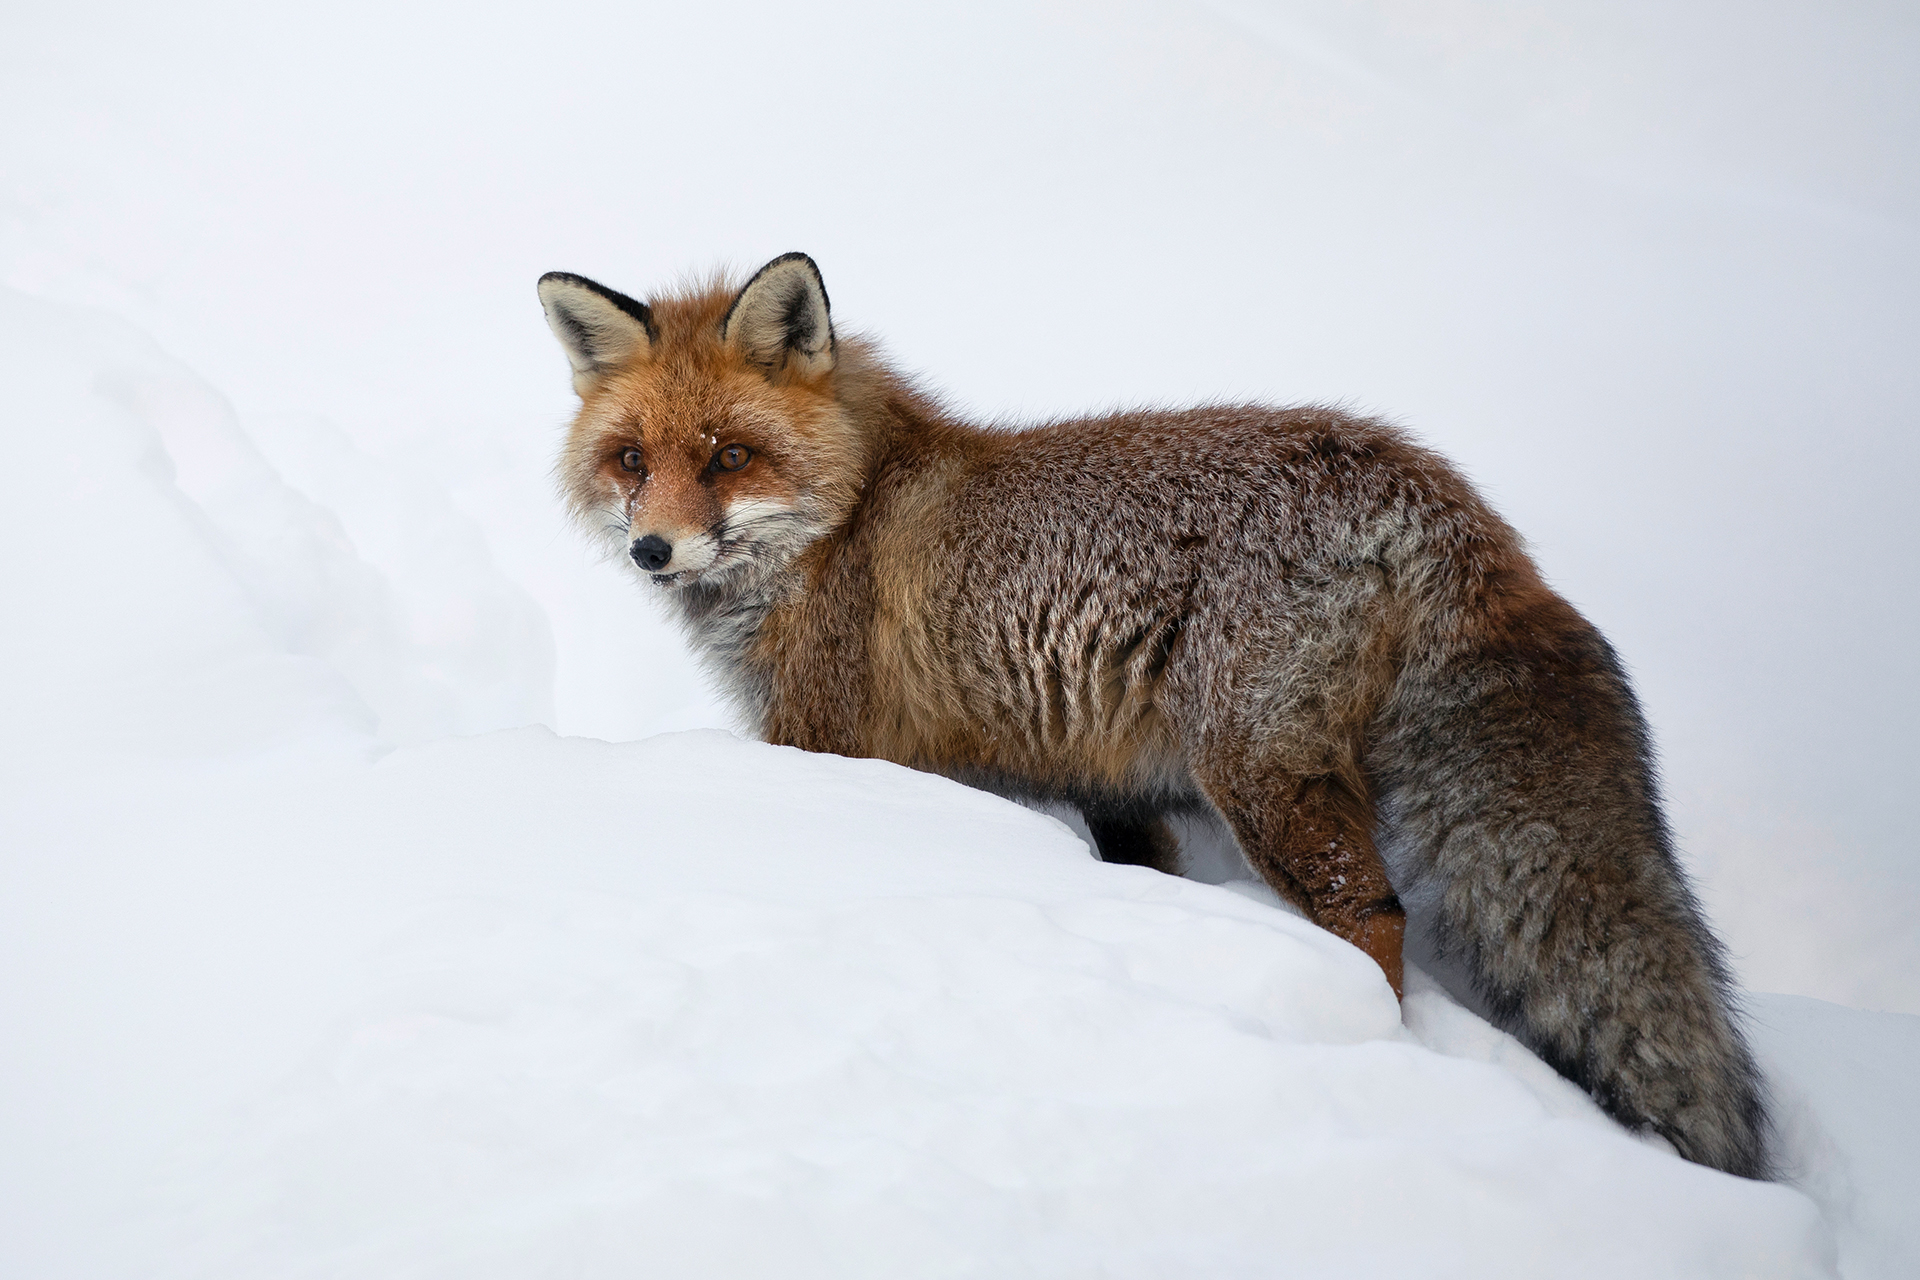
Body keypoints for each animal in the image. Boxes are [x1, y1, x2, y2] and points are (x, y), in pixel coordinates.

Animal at [537, 252, 1770, 1179]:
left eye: (729, 457)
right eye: (633, 460)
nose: (653, 550)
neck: (843, 518)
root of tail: (1426, 484)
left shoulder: (829, 744)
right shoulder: (1119, 790)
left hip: (1259, 773)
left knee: (1370, 914)